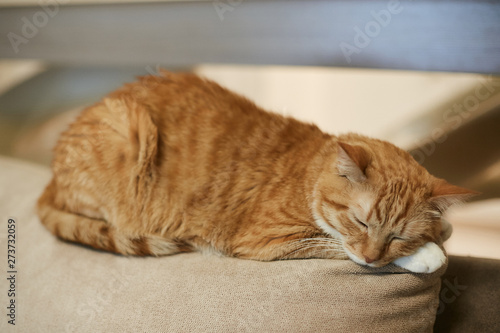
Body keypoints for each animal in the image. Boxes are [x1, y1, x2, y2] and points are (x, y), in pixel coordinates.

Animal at [36, 71, 476, 272]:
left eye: (397, 234)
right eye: (361, 222)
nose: (371, 257)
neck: (309, 172)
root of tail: (49, 179)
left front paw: (438, 230)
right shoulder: (268, 240)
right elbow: (333, 243)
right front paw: (427, 253)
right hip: (128, 131)